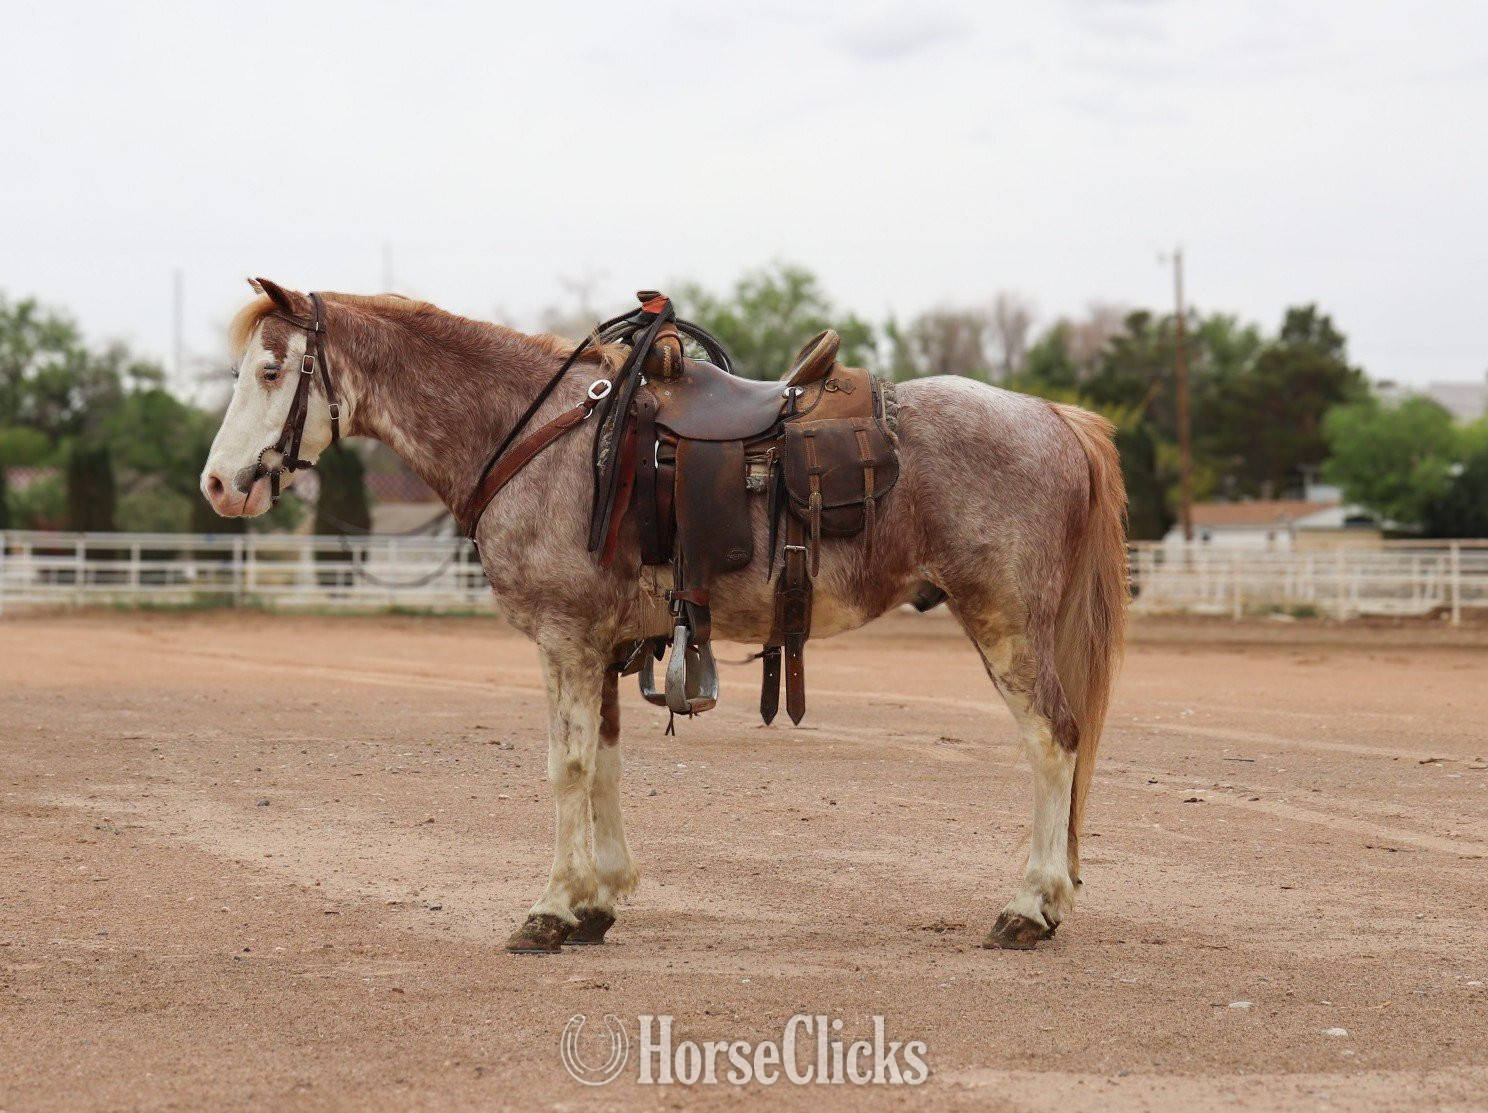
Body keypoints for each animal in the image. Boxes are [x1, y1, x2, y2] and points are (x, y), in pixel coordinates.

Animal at [200, 279, 1127, 952]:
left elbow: (566, 767)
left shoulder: (565, 641)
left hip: (1007, 623)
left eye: (272, 372)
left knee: (1053, 740)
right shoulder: (604, 647)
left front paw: (549, 910)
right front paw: (597, 903)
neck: (545, 439)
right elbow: (605, 763)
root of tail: (1055, 417)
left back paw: (1029, 907)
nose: (217, 484)